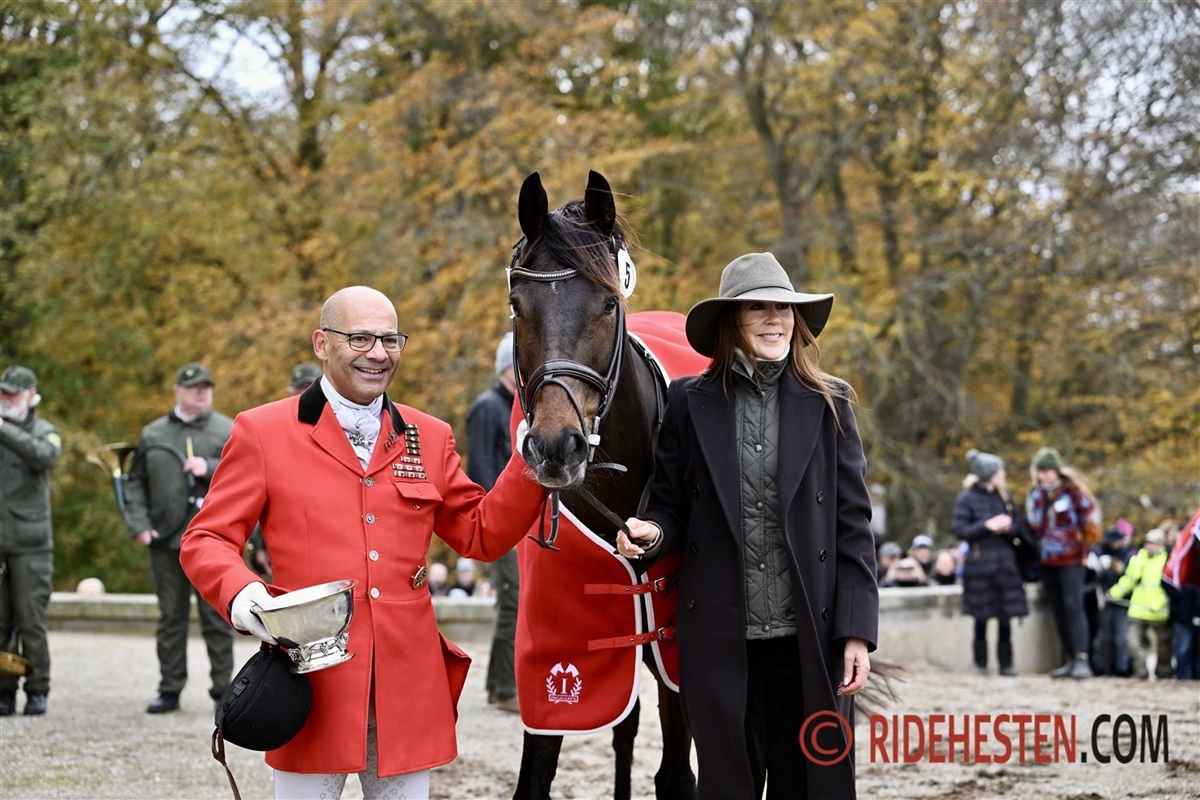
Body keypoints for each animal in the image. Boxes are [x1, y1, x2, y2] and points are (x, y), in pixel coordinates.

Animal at [506, 170, 700, 800]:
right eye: (517, 306)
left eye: (609, 303)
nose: (554, 447)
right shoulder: (560, 653)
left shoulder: (677, 653)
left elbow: (676, 774)